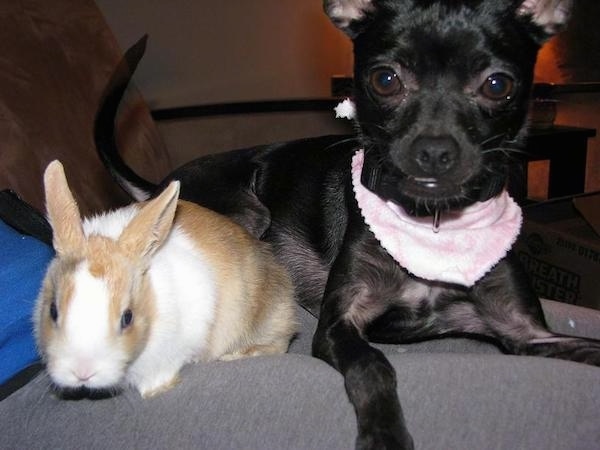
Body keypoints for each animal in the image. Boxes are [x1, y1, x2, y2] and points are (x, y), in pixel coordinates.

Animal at [96, 1, 596, 448]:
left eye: (497, 85)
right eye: (384, 79)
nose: (434, 152)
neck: (432, 228)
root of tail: (161, 184)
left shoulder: (525, 332)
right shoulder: (341, 325)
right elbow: (374, 366)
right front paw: (384, 434)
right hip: (247, 216)